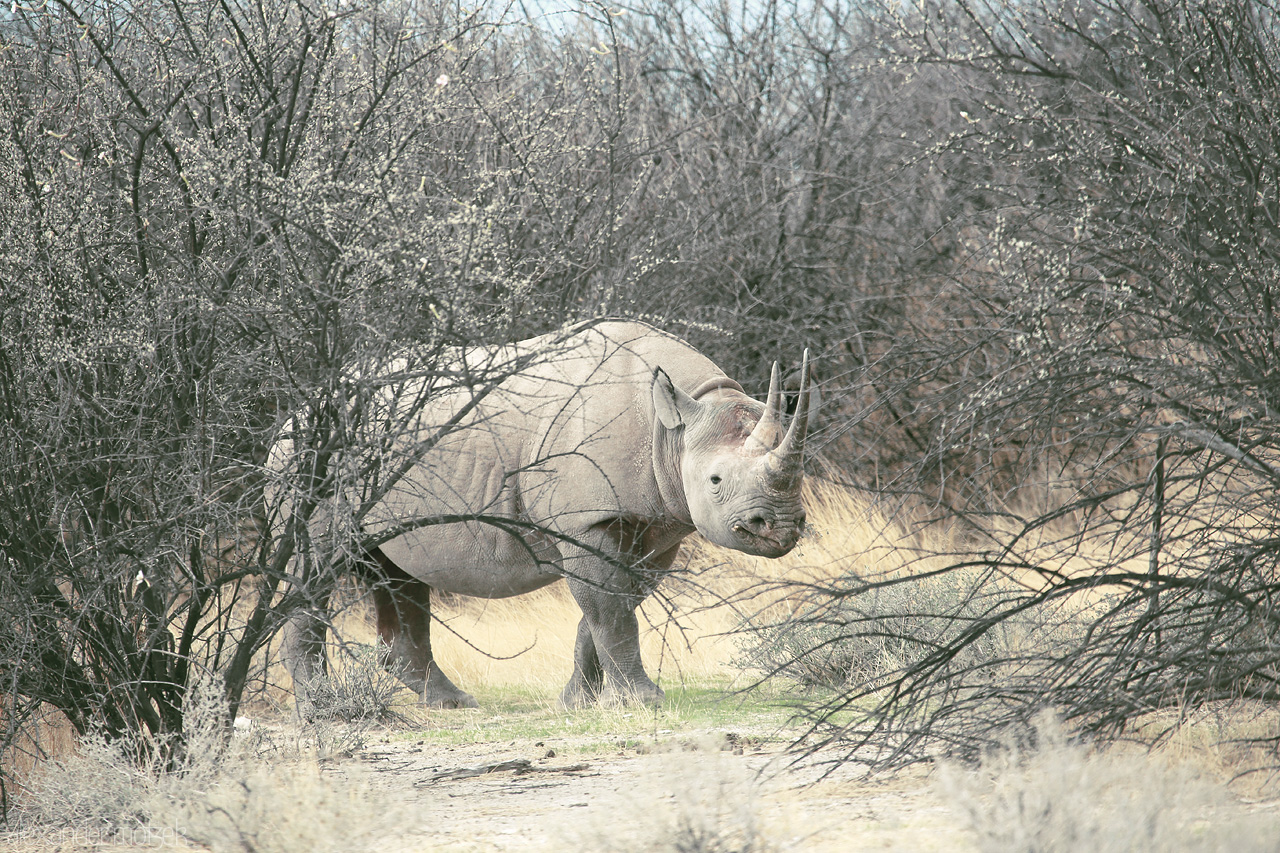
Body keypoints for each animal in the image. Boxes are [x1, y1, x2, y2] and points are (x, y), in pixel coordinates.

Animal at [275, 320, 813, 709]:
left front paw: (577, 704)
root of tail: (290, 417)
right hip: (305, 459)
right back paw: (324, 710)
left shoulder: (659, 526)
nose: (781, 527)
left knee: (395, 572)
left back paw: (453, 705)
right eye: (715, 481)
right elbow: (610, 610)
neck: (674, 425)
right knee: (316, 566)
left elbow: (609, 610)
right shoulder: (587, 521)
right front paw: (645, 703)